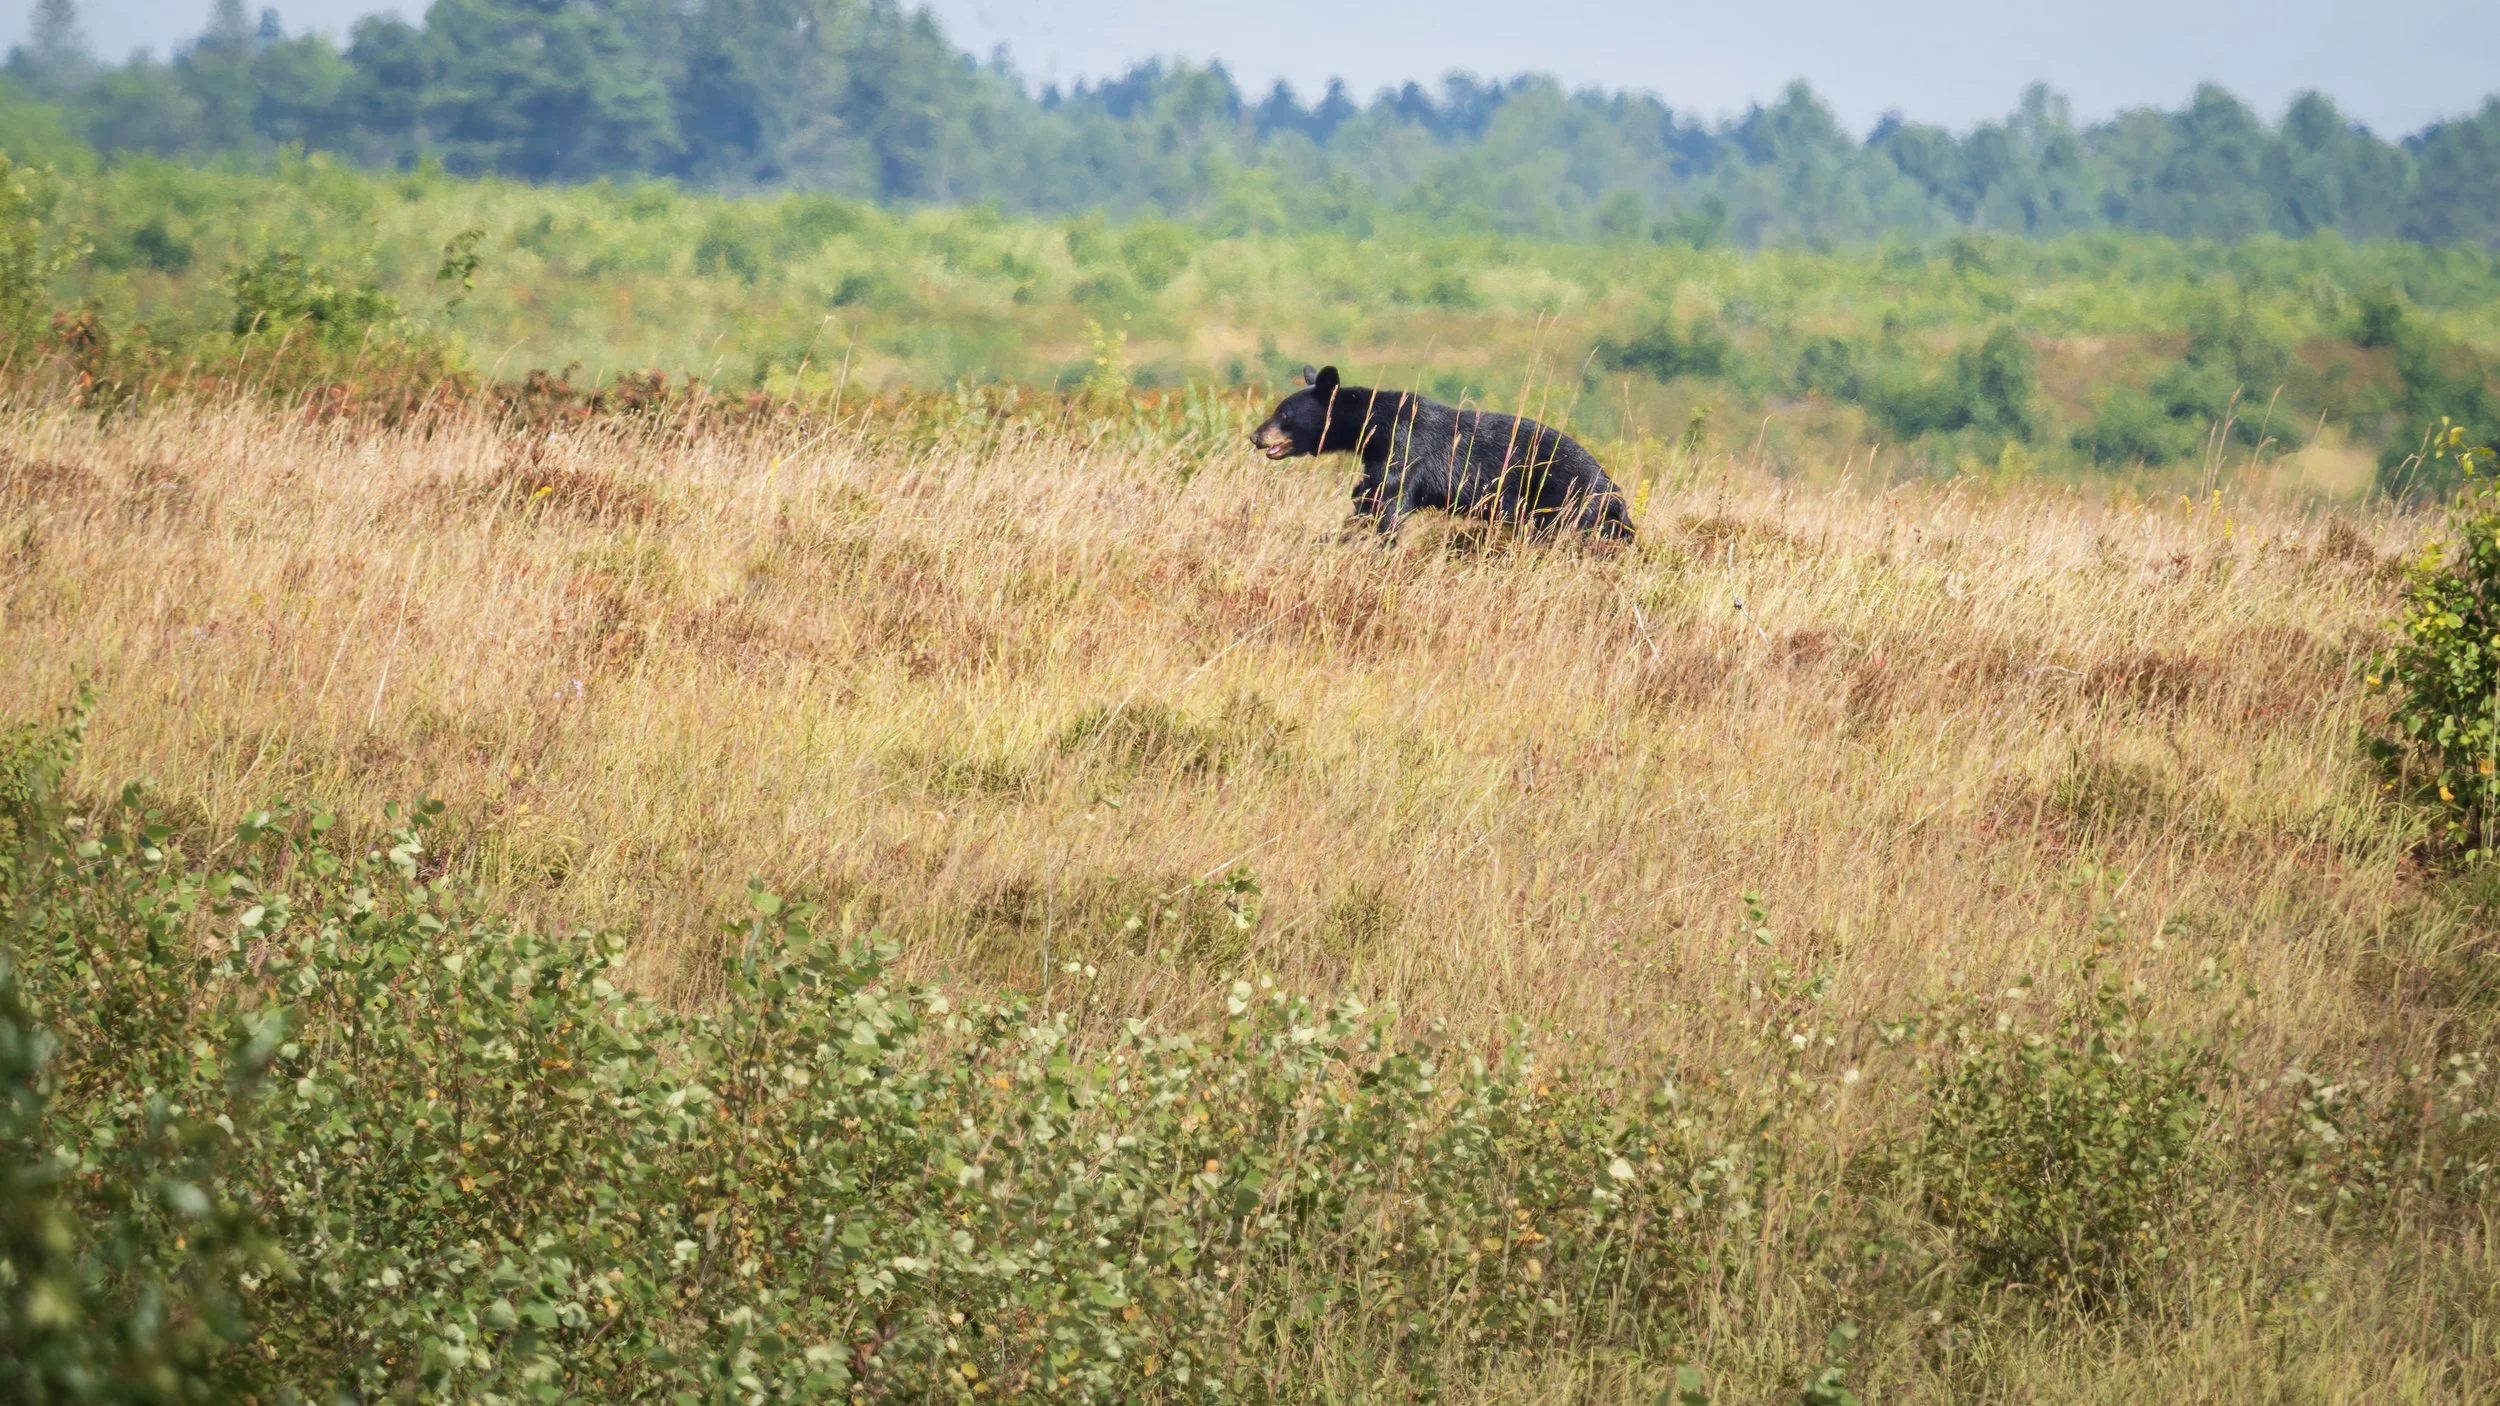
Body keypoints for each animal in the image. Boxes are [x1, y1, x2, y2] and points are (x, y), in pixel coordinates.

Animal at [1249, 365, 1635, 542]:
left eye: (1283, 415)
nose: (1255, 436)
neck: (1374, 426)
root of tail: (1615, 493)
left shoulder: (1405, 449)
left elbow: (1389, 500)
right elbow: (1368, 494)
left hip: (1566, 500)